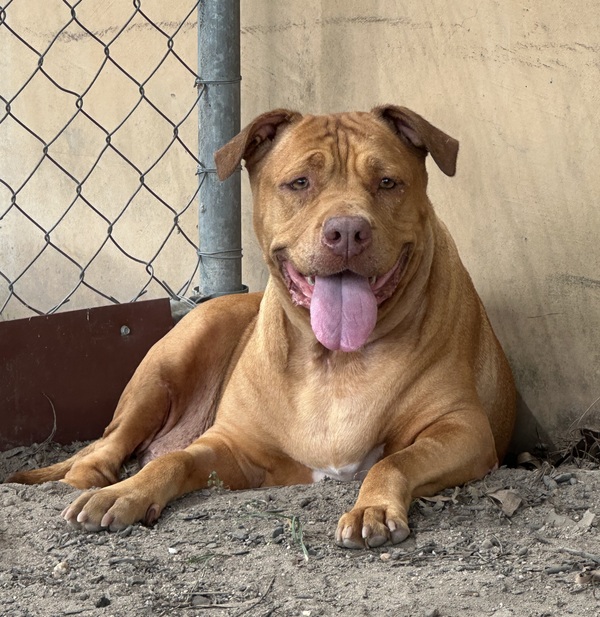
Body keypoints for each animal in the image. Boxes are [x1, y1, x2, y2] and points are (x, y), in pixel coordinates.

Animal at [8, 105, 516, 549]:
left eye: (387, 182)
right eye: (299, 182)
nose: (347, 231)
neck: (333, 361)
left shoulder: (463, 431)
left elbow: (395, 461)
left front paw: (371, 507)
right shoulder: (231, 447)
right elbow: (173, 460)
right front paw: (128, 493)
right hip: (169, 362)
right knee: (106, 448)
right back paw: (99, 480)